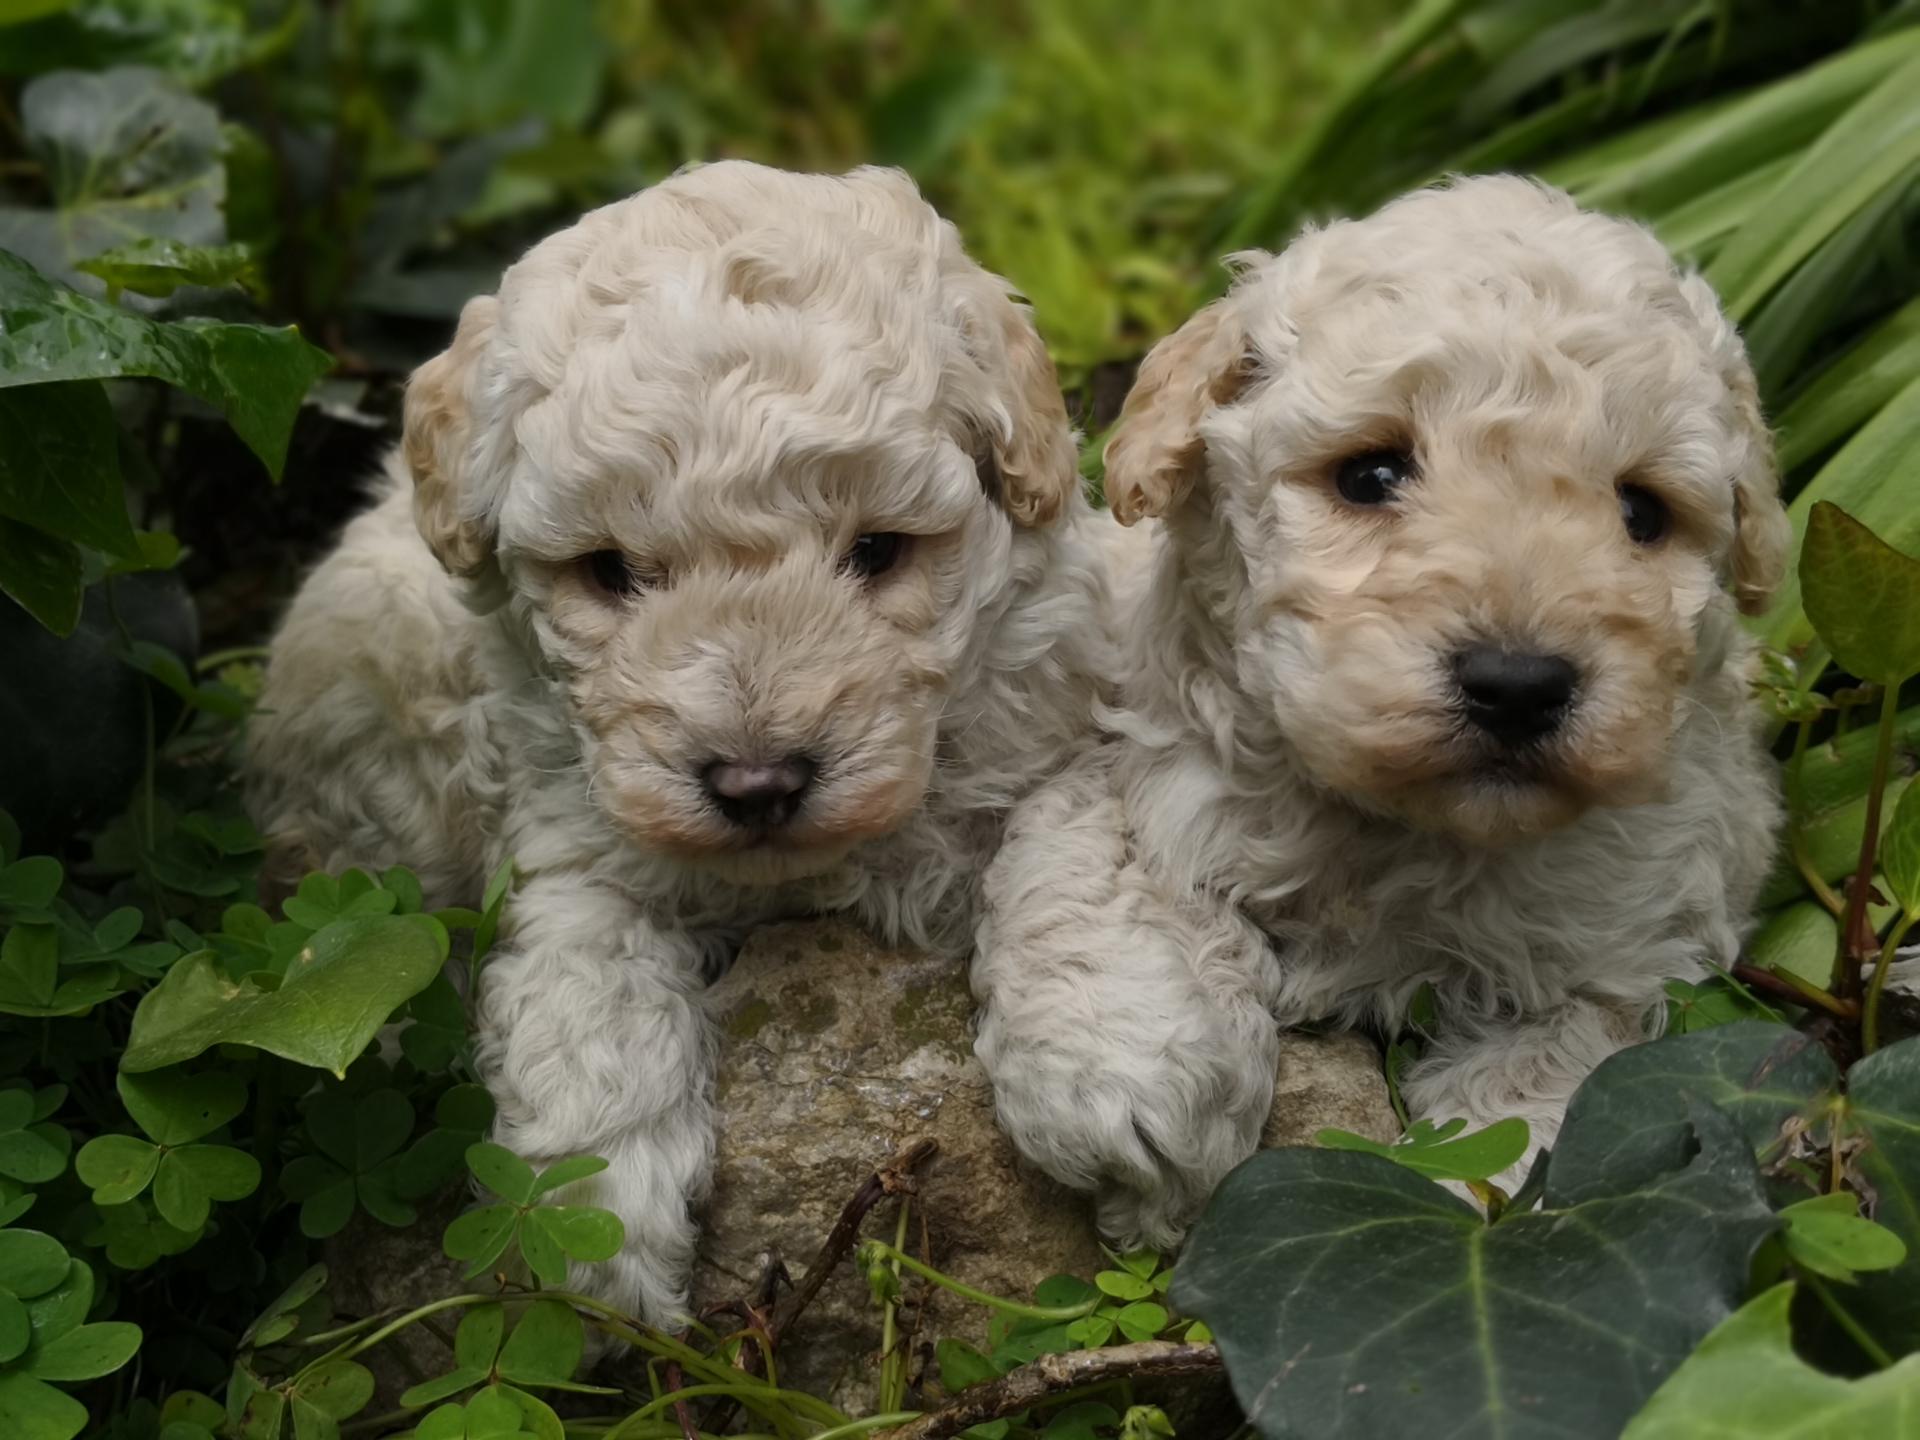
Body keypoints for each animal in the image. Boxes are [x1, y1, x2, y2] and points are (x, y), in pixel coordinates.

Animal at [243, 163, 1113, 1328]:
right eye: (610, 571)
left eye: (880, 551)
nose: (758, 781)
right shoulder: (572, 833)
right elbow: (588, 990)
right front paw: (599, 1223)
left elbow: (1075, 839)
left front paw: (1110, 1072)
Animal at [983, 174, 1789, 1244]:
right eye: (1369, 474)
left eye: (1643, 512)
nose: (1518, 684)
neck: (1396, 827)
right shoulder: (1130, 741)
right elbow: (1101, 867)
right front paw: (1134, 1104)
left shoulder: (1636, 927)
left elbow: (1554, 1070)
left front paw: (1465, 1206)